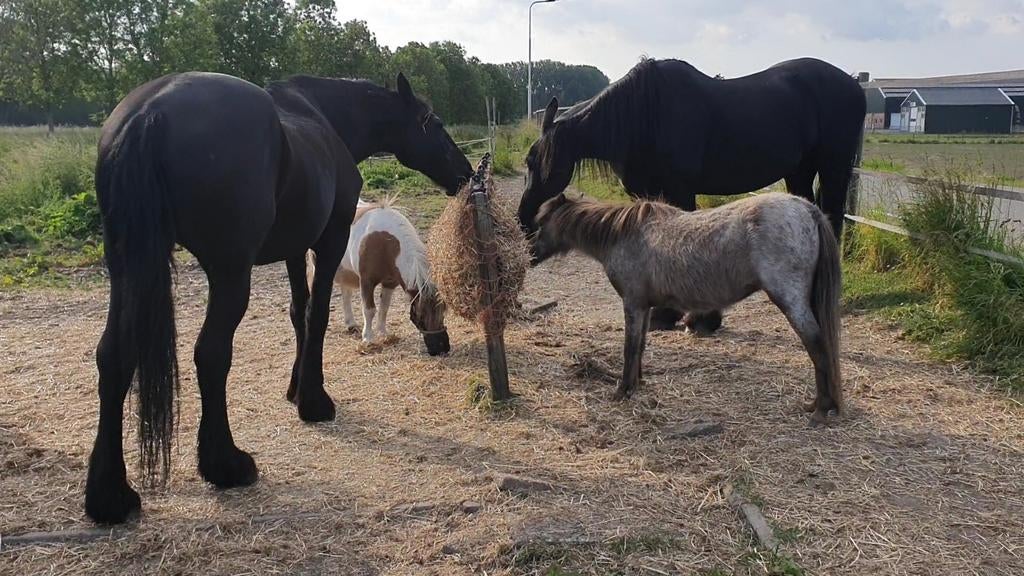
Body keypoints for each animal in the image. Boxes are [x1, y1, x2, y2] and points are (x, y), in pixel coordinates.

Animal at [306, 197, 450, 355]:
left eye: (444, 311)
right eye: (421, 315)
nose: (442, 348)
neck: (385, 243)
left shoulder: (390, 283)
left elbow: (384, 307)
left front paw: (383, 333)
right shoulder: (366, 282)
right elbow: (369, 310)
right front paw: (368, 339)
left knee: (346, 292)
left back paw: (351, 324)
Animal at [518, 57, 866, 333]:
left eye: (535, 161)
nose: (524, 222)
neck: (645, 116)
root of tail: (853, 84)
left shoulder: (680, 189)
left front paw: (692, 317)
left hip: (833, 167)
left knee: (833, 215)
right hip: (799, 172)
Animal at [531, 192, 843, 425]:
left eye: (542, 221)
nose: (530, 253)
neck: (622, 235)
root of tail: (808, 209)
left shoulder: (632, 303)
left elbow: (629, 348)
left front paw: (622, 390)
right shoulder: (644, 307)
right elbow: (640, 346)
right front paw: (637, 384)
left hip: (790, 300)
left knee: (817, 345)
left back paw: (820, 409)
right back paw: (817, 404)